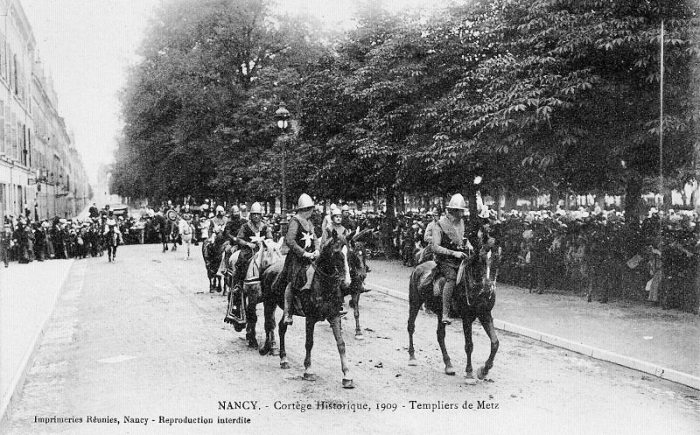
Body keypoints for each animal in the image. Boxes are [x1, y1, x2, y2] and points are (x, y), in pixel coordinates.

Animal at [258, 233, 356, 390]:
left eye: (350, 254)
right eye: (336, 253)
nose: (347, 283)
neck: (323, 284)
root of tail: (268, 268)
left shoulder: (334, 316)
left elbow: (341, 344)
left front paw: (347, 376)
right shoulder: (310, 318)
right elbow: (309, 343)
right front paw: (308, 371)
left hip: (286, 310)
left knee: (281, 327)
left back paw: (283, 359)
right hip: (269, 303)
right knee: (269, 325)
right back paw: (267, 348)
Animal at [408, 242, 500, 382]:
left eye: (497, 259)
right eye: (481, 260)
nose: (488, 288)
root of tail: (418, 267)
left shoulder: (485, 314)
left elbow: (495, 343)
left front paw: (483, 371)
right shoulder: (467, 318)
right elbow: (469, 345)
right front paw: (469, 373)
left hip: (440, 313)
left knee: (440, 335)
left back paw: (448, 365)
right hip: (415, 303)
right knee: (411, 326)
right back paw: (412, 357)